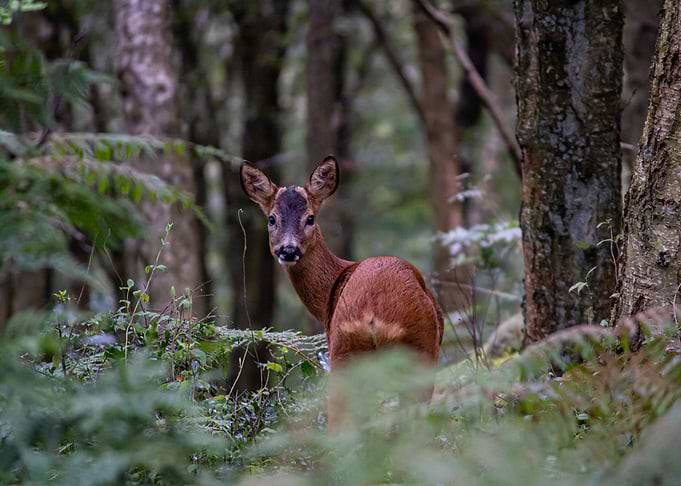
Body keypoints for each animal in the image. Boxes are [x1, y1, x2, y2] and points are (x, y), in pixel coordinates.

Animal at [240, 155, 444, 429]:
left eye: (310, 218)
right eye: (272, 219)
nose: (288, 250)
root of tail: (372, 313)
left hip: (352, 352)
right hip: (409, 351)